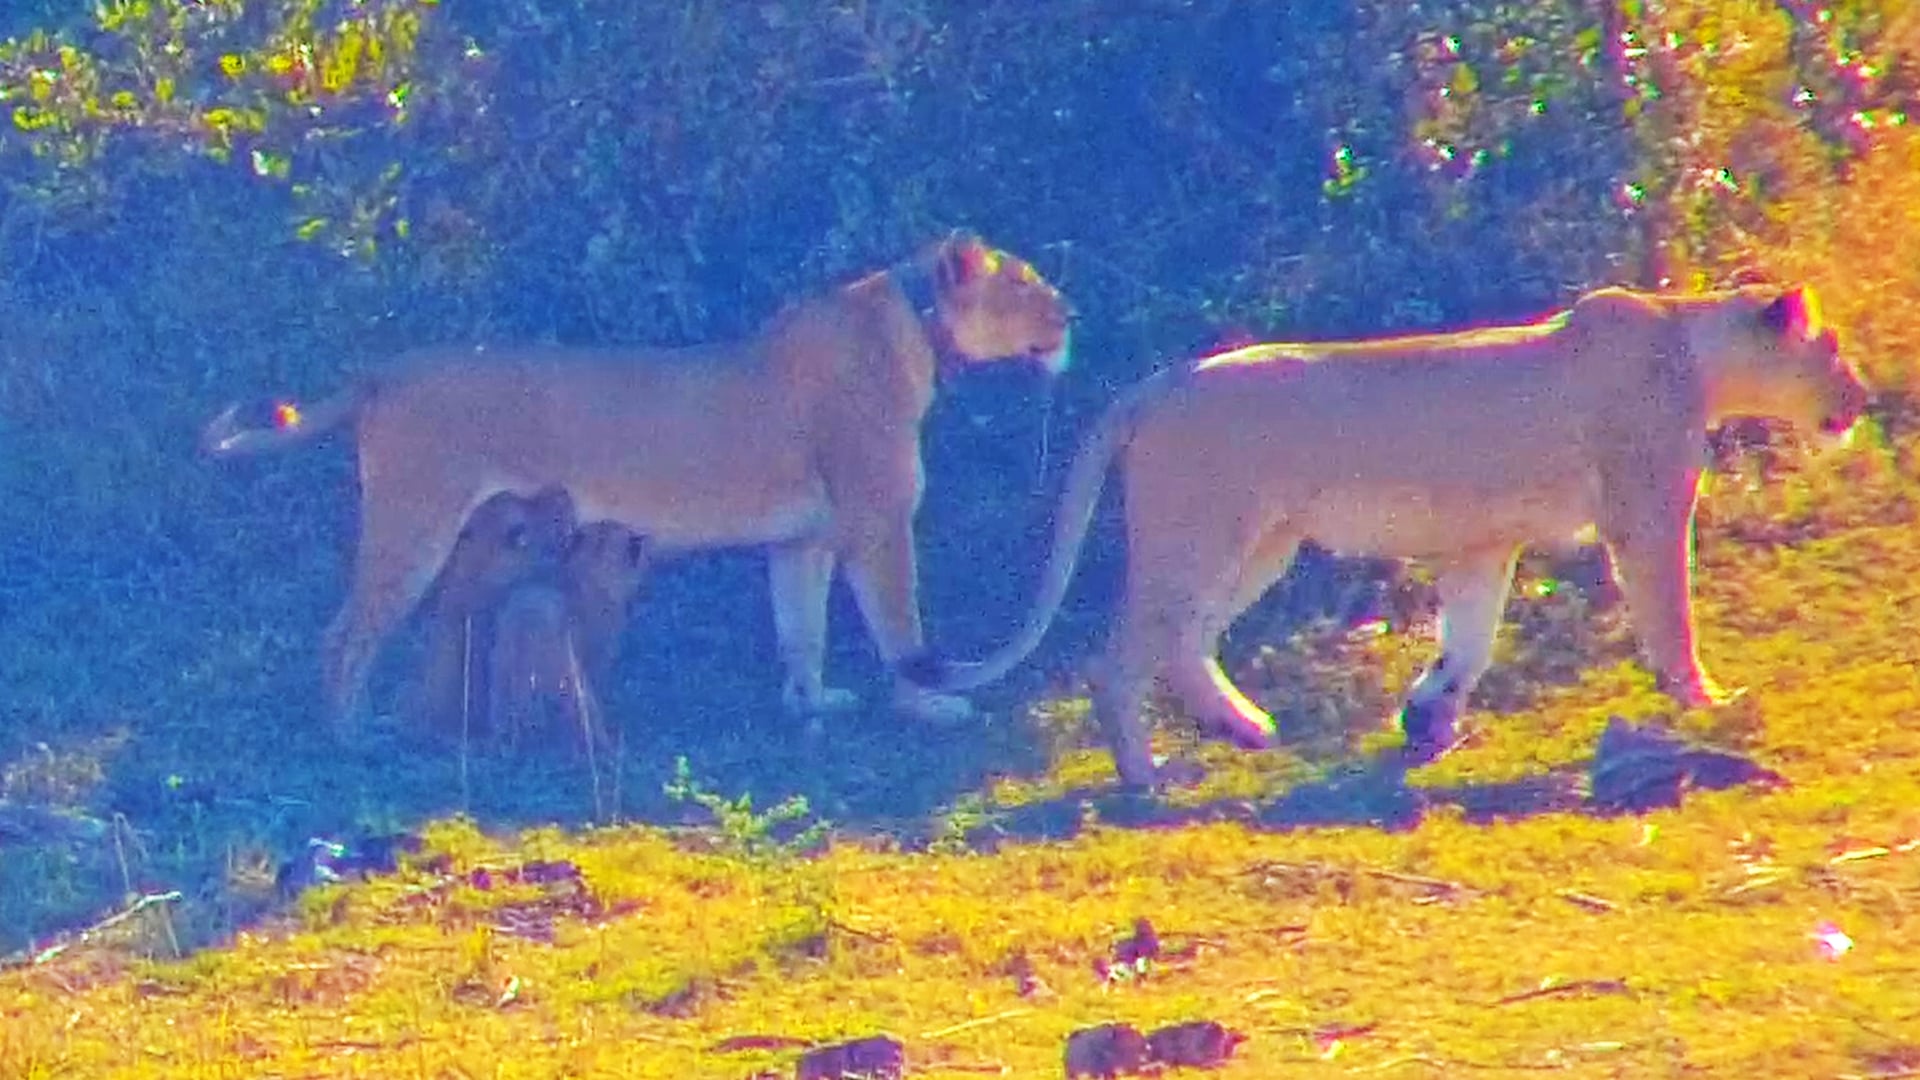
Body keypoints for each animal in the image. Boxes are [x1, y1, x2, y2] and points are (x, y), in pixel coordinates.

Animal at [202, 232, 1072, 736]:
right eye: (1027, 284)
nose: (1072, 313)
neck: (917, 330)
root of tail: (381, 371)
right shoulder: (879, 520)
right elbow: (901, 627)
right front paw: (930, 704)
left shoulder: (803, 540)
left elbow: (803, 629)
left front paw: (811, 703)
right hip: (414, 521)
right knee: (345, 633)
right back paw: (350, 735)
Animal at [904, 284, 1869, 789]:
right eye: (1833, 351)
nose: (1861, 398)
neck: (1693, 350)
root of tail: (1158, 381)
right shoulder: (1647, 509)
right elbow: (1669, 613)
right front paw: (1705, 700)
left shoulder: (1485, 544)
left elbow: (1469, 638)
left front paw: (1429, 719)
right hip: (1203, 532)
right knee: (1119, 657)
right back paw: (1147, 776)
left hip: (1260, 543)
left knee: (1184, 643)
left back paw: (1247, 730)